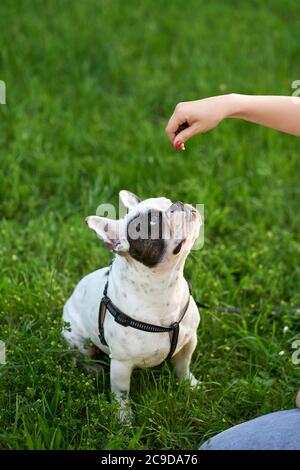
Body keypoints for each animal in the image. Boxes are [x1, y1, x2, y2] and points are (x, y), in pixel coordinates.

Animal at [61, 189, 202, 420]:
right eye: (155, 222)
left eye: (168, 201)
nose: (179, 203)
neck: (164, 287)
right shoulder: (121, 364)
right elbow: (121, 394)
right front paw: (124, 419)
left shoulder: (189, 340)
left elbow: (183, 366)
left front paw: (191, 385)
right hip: (77, 339)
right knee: (80, 355)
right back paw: (92, 368)